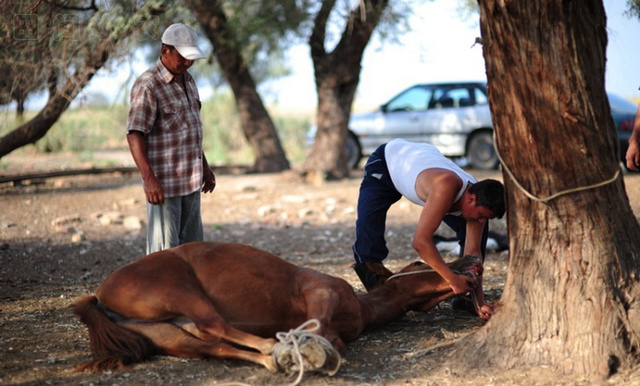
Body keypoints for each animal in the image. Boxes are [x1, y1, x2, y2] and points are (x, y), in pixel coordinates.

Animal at [74, 241, 480, 376]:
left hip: (169, 334)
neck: (362, 307)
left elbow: (329, 336)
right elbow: (316, 328)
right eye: (417, 263)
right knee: (213, 327)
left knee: (211, 346)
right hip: (182, 291)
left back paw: (271, 359)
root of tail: (99, 296)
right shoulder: (321, 292)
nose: (472, 261)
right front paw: (307, 350)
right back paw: (273, 349)